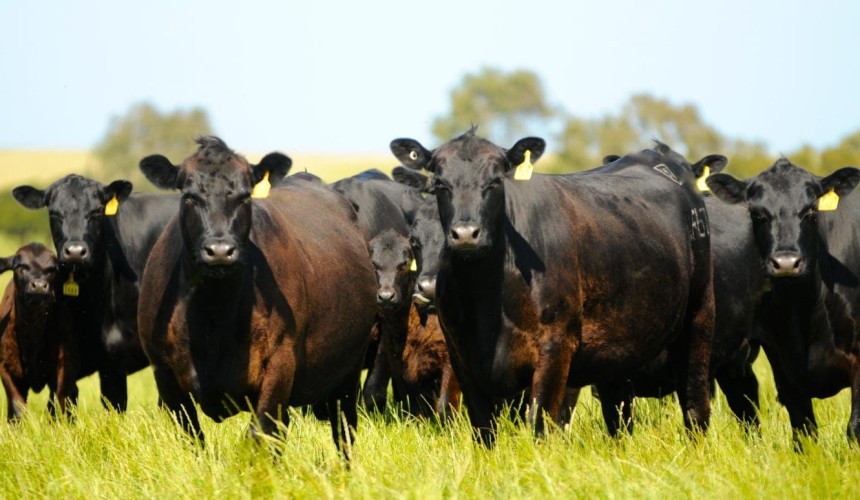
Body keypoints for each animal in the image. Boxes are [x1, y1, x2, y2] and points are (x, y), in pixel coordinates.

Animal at [0, 243, 59, 420]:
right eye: (20, 267)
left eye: (52, 270)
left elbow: (53, 406)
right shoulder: (7, 369)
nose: (39, 286)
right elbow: (17, 406)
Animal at [137, 136, 378, 455]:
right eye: (188, 196)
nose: (220, 250)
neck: (213, 316)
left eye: (244, 196)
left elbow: (260, 434)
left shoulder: (280, 363)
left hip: (348, 371)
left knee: (343, 431)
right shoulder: (164, 373)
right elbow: (193, 439)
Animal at [390, 130, 715, 445]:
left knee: (695, 407)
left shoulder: (555, 348)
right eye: (440, 183)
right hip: (617, 349)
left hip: (697, 321)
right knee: (619, 416)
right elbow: (482, 431)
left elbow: (541, 424)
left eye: (496, 181)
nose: (466, 234)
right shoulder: (462, 357)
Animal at [706, 158, 860, 445]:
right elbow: (804, 430)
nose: (786, 263)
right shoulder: (784, 365)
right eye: (758, 214)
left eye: (811, 211)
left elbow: (854, 427)